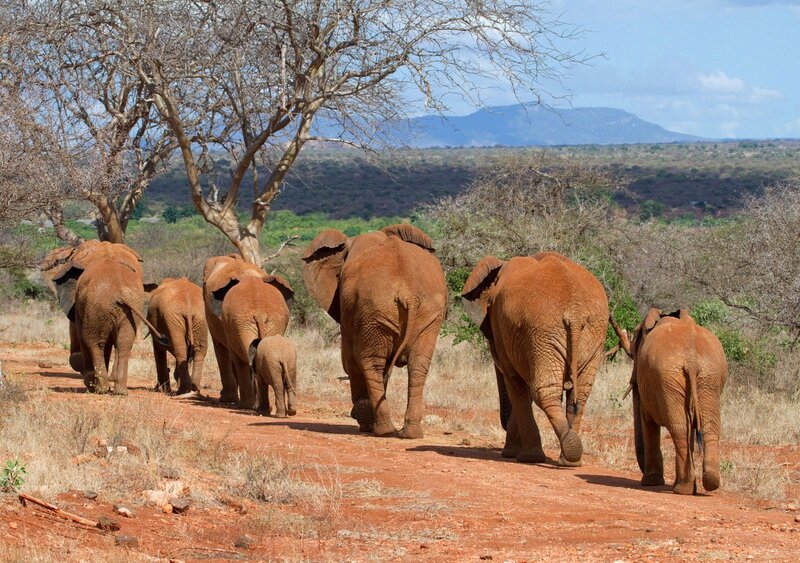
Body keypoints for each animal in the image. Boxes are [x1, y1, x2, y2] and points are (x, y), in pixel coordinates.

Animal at [45, 240, 165, 394]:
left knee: (93, 342)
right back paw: (119, 391)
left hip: (97, 305)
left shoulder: (79, 302)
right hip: (127, 307)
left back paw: (99, 388)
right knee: (123, 342)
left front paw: (90, 382)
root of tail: (119, 293)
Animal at [203, 255, 294, 410]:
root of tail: (259, 313)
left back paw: (247, 405)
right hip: (270, 322)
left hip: (241, 322)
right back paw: (261, 407)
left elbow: (222, 350)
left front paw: (227, 399)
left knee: (241, 358)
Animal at [302, 223, 447, 439]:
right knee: (417, 364)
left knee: (371, 363)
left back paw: (382, 430)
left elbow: (349, 359)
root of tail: (409, 294)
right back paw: (408, 433)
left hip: (374, 309)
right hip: (424, 313)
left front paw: (363, 420)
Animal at [461, 252, 609, 466]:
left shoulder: (505, 330)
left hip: (543, 331)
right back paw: (570, 459)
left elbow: (515, 382)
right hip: (590, 335)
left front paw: (517, 455)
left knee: (544, 391)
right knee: (580, 393)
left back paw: (546, 455)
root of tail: (575, 312)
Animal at [627, 308, 728, 495]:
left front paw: (650, 483)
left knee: (680, 428)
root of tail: (692, 361)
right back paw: (708, 482)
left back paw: (682, 488)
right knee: (707, 427)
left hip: (670, 378)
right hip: (708, 378)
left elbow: (648, 420)